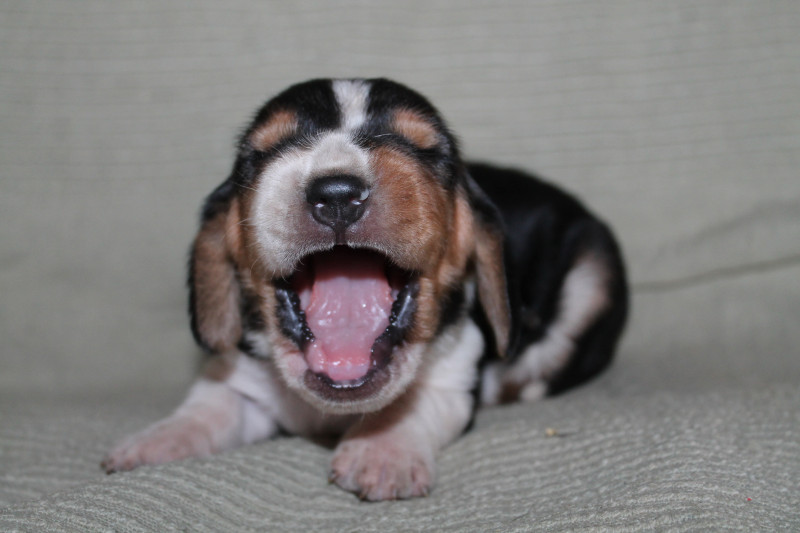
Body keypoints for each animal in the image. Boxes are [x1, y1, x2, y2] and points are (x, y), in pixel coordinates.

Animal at [102, 78, 628, 501]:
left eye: (426, 148)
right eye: (261, 152)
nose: (337, 193)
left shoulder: (455, 374)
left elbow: (411, 404)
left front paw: (382, 452)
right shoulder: (240, 377)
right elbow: (209, 408)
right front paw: (153, 443)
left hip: (593, 277)